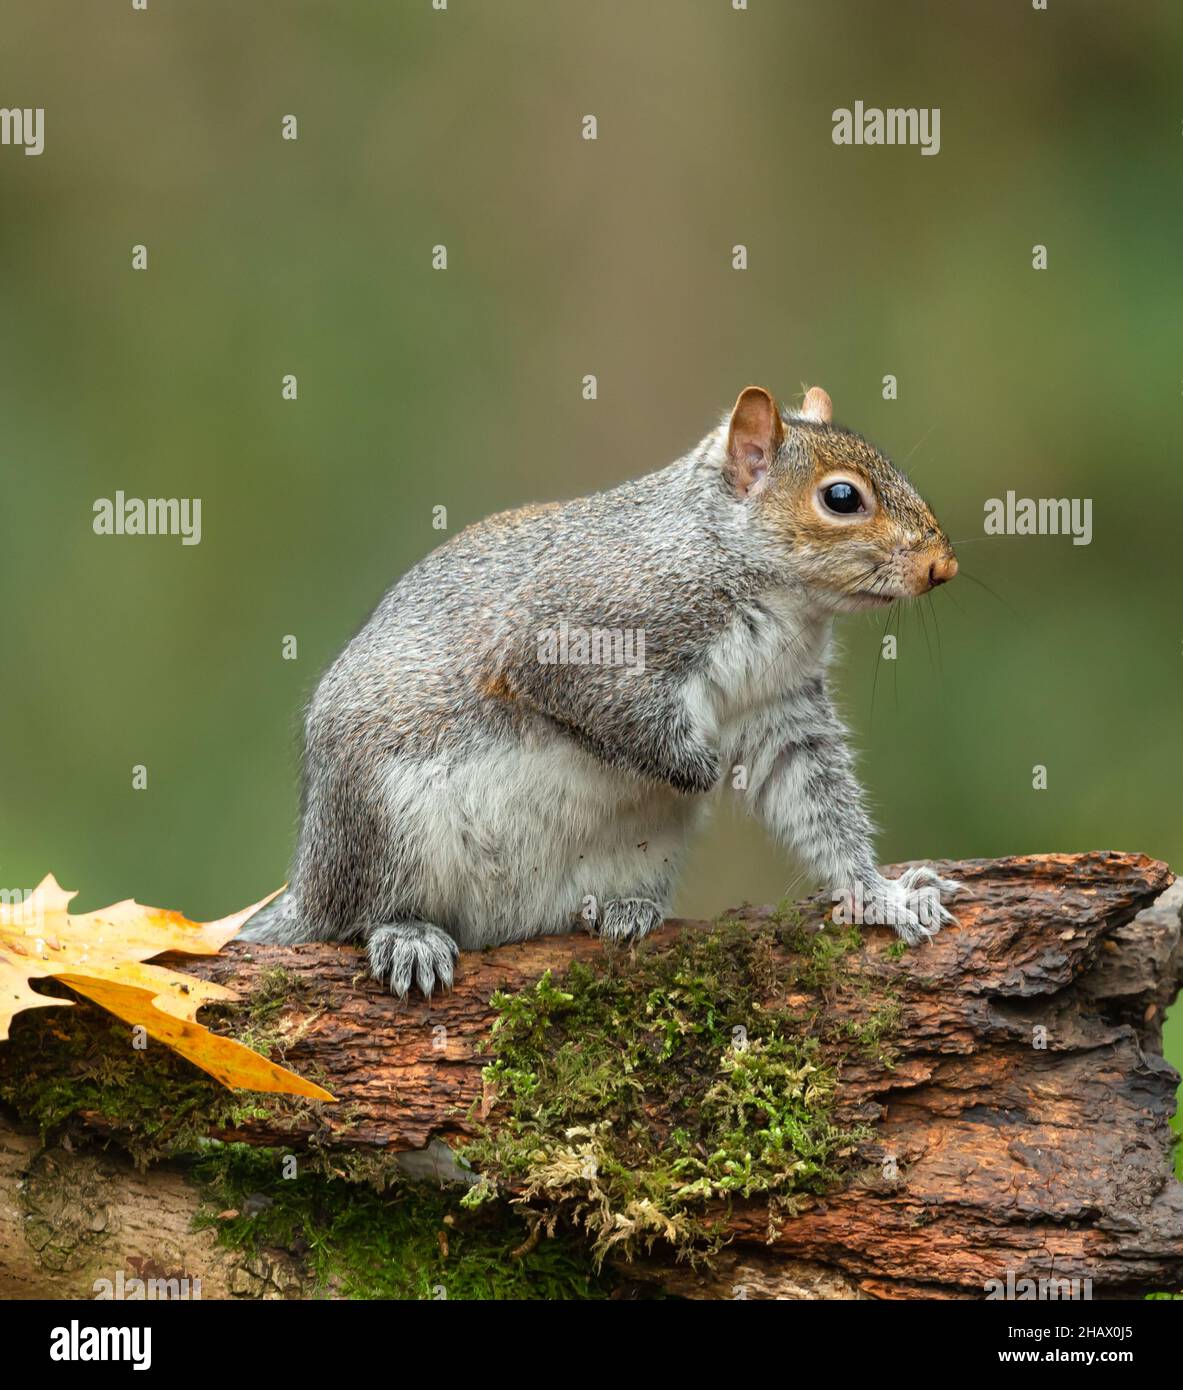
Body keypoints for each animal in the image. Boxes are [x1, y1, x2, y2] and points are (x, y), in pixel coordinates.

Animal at [240, 386, 961, 995]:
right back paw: (406, 935)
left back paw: (625, 909)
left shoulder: (780, 709)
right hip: (383, 827)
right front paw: (696, 769)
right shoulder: (570, 636)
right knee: (357, 916)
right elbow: (610, 711)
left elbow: (819, 807)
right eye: (841, 498)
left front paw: (883, 897)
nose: (943, 567)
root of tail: (309, 882)